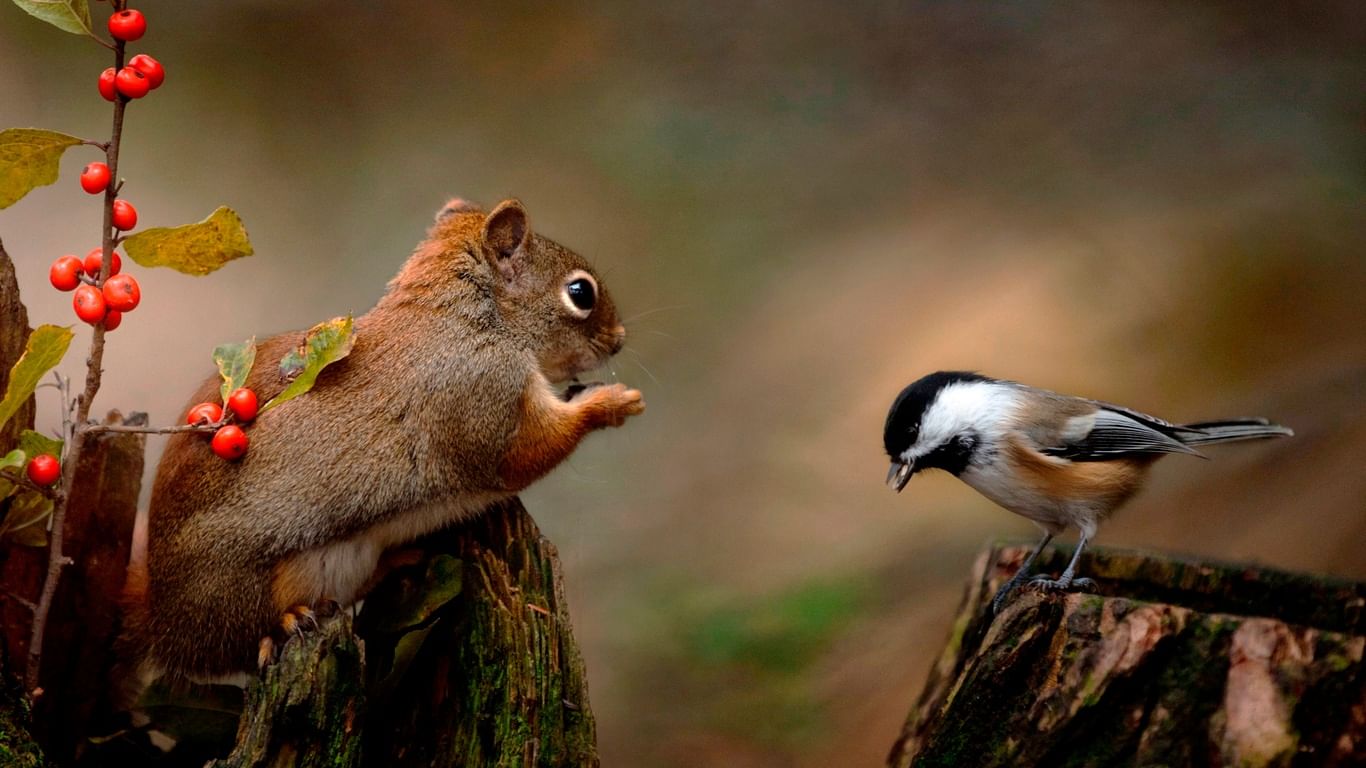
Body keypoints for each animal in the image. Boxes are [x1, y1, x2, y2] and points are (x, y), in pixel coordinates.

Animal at [122, 195, 644, 675]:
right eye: (580, 292)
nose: (618, 339)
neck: (470, 320)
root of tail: (164, 621)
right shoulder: (477, 396)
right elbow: (524, 455)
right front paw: (612, 403)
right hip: (247, 586)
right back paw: (285, 624)